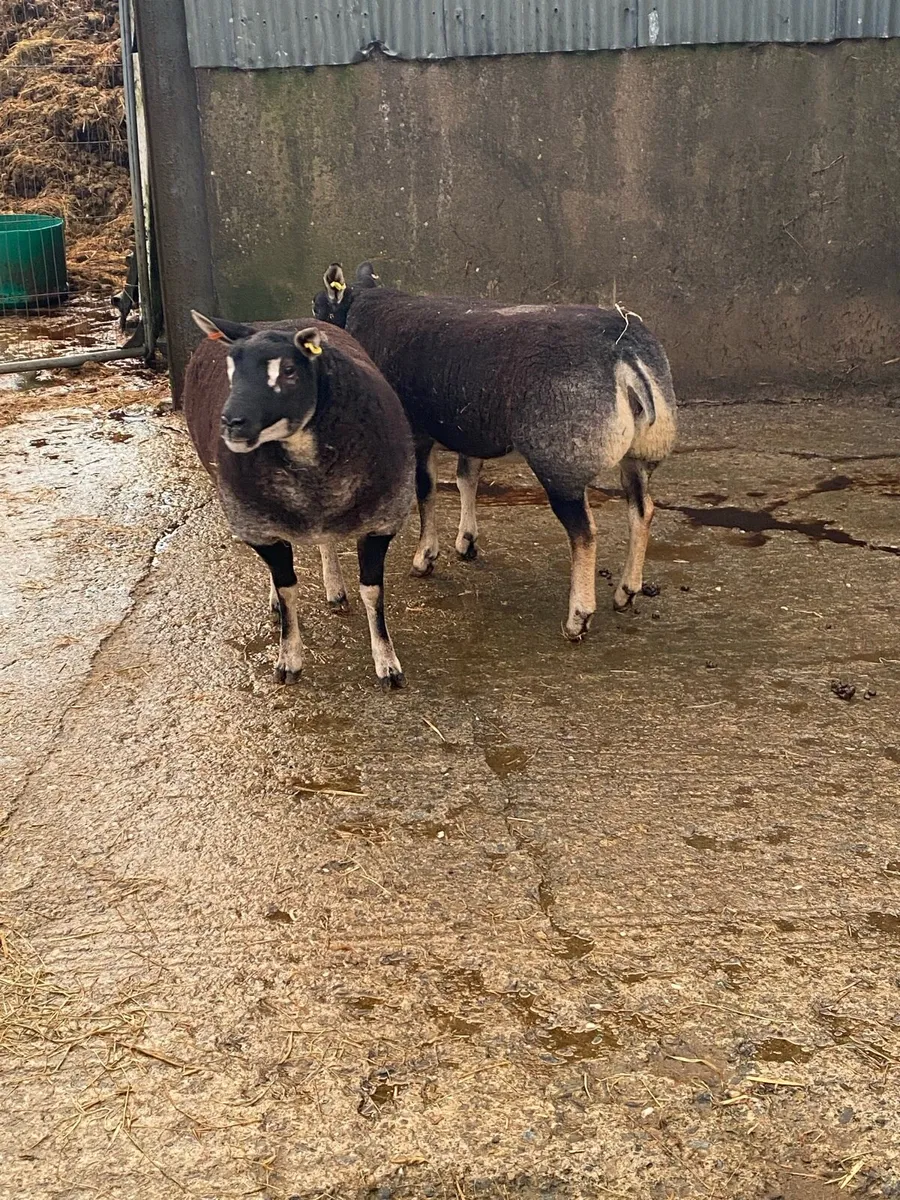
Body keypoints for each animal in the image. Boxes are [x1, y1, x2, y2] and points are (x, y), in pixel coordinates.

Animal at [183, 313, 415, 688]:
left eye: (289, 370)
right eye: (230, 369)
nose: (231, 422)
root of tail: (273, 320)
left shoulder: (382, 521)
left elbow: (372, 591)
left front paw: (387, 663)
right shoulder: (258, 526)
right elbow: (287, 589)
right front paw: (288, 659)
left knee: (326, 541)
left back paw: (335, 590)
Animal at [313, 263, 677, 641]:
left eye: (317, 307)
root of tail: (625, 353)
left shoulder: (417, 431)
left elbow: (426, 491)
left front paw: (425, 557)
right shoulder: (469, 431)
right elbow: (466, 479)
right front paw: (466, 541)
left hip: (562, 460)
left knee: (585, 534)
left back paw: (578, 616)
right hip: (640, 453)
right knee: (642, 511)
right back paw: (626, 591)